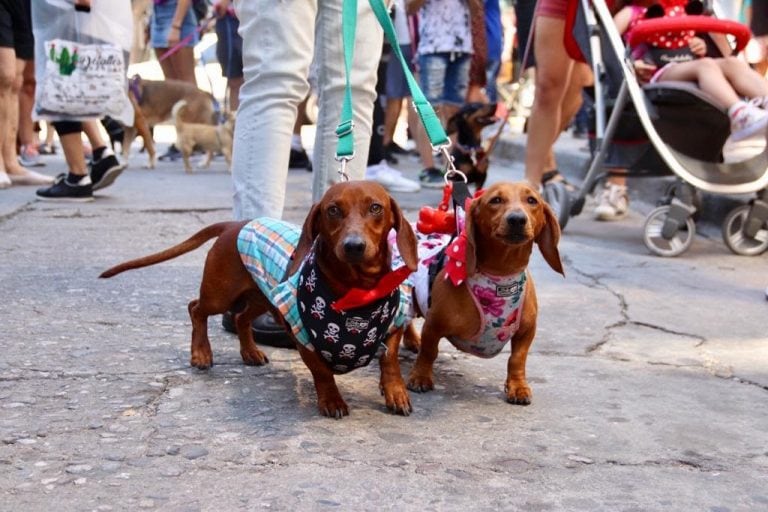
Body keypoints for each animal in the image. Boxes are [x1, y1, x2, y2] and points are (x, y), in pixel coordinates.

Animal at [400, 182, 560, 406]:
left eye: (532, 200)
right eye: (495, 200)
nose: (517, 219)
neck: (501, 274)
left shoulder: (527, 331)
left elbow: (517, 359)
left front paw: (518, 387)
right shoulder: (434, 324)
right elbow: (429, 351)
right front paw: (420, 377)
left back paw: (413, 340)